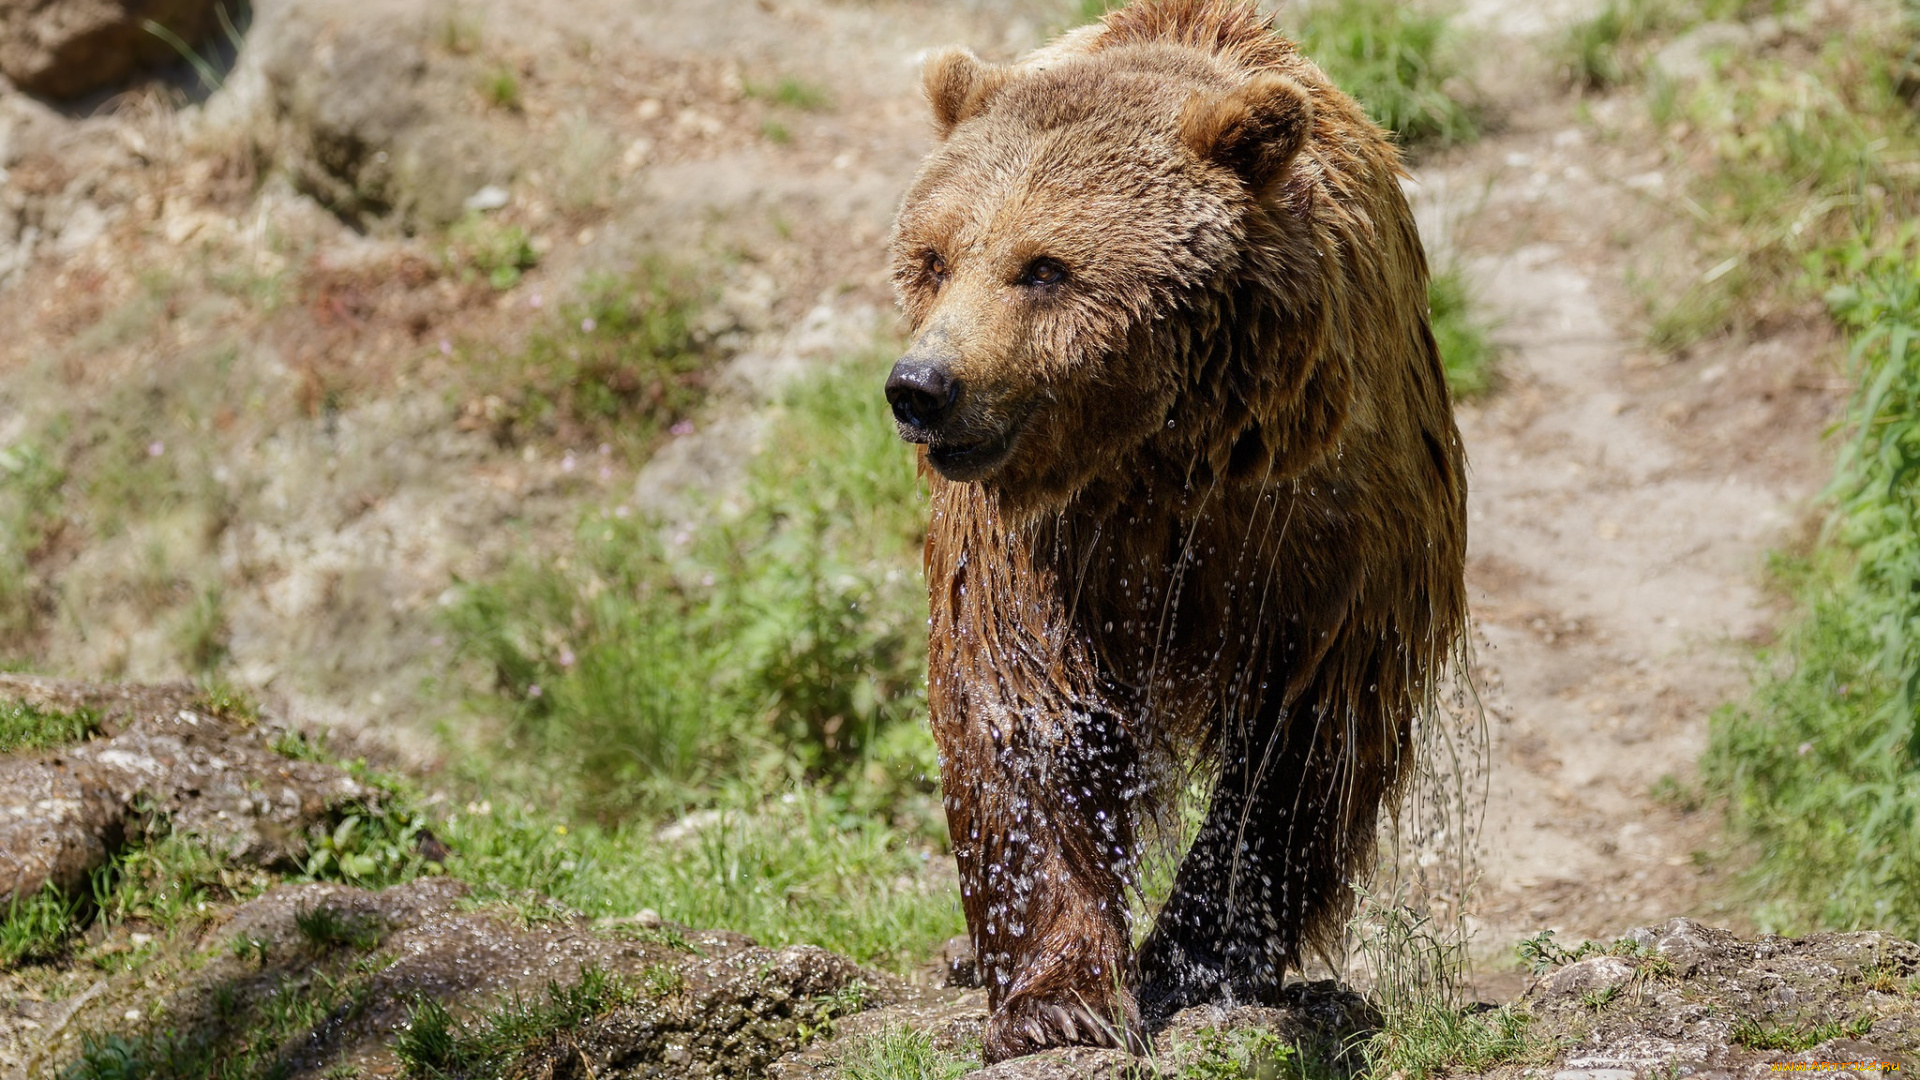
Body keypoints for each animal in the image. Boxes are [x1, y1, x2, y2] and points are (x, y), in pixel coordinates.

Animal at [883, 0, 1466, 1060]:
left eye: (1044, 268)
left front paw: (1196, 956)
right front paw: (1056, 1000)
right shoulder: (1034, 543)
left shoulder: (1322, 530)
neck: (1162, 451)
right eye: (935, 258)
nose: (923, 388)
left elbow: (1302, 742)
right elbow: (1024, 716)